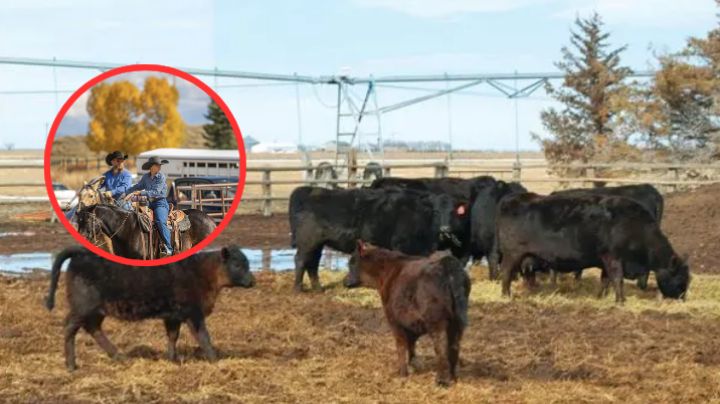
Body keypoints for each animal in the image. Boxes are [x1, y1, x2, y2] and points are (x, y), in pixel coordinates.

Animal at [44, 245, 255, 371]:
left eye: (247, 262)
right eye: (237, 264)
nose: (252, 281)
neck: (203, 272)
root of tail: (81, 252)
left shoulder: (173, 316)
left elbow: (173, 336)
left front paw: (172, 358)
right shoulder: (193, 313)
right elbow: (203, 336)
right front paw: (214, 359)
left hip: (95, 310)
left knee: (93, 329)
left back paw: (119, 357)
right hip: (83, 307)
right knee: (70, 328)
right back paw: (71, 365)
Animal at [288, 186, 468, 292]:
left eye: (453, 211)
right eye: (436, 211)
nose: (445, 229)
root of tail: (310, 191)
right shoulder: (402, 246)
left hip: (317, 244)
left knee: (313, 263)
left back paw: (318, 288)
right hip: (308, 242)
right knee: (301, 260)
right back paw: (298, 289)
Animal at [343, 241, 471, 386]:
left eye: (352, 262)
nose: (344, 281)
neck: (387, 272)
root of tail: (447, 262)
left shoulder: (394, 320)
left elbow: (401, 345)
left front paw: (402, 372)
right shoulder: (411, 323)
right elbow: (411, 343)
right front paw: (414, 364)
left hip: (436, 321)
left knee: (441, 346)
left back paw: (441, 380)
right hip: (458, 321)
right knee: (454, 345)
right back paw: (453, 377)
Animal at [496, 193, 689, 303]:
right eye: (680, 278)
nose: (683, 298)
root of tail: (513, 199)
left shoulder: (605, 261)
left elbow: (606, 280)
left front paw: (601, 297)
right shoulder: (613, 257)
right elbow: (617, 279)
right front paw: (620, 300)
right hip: (512, 254)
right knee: (506, 273)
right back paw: (506, 295)